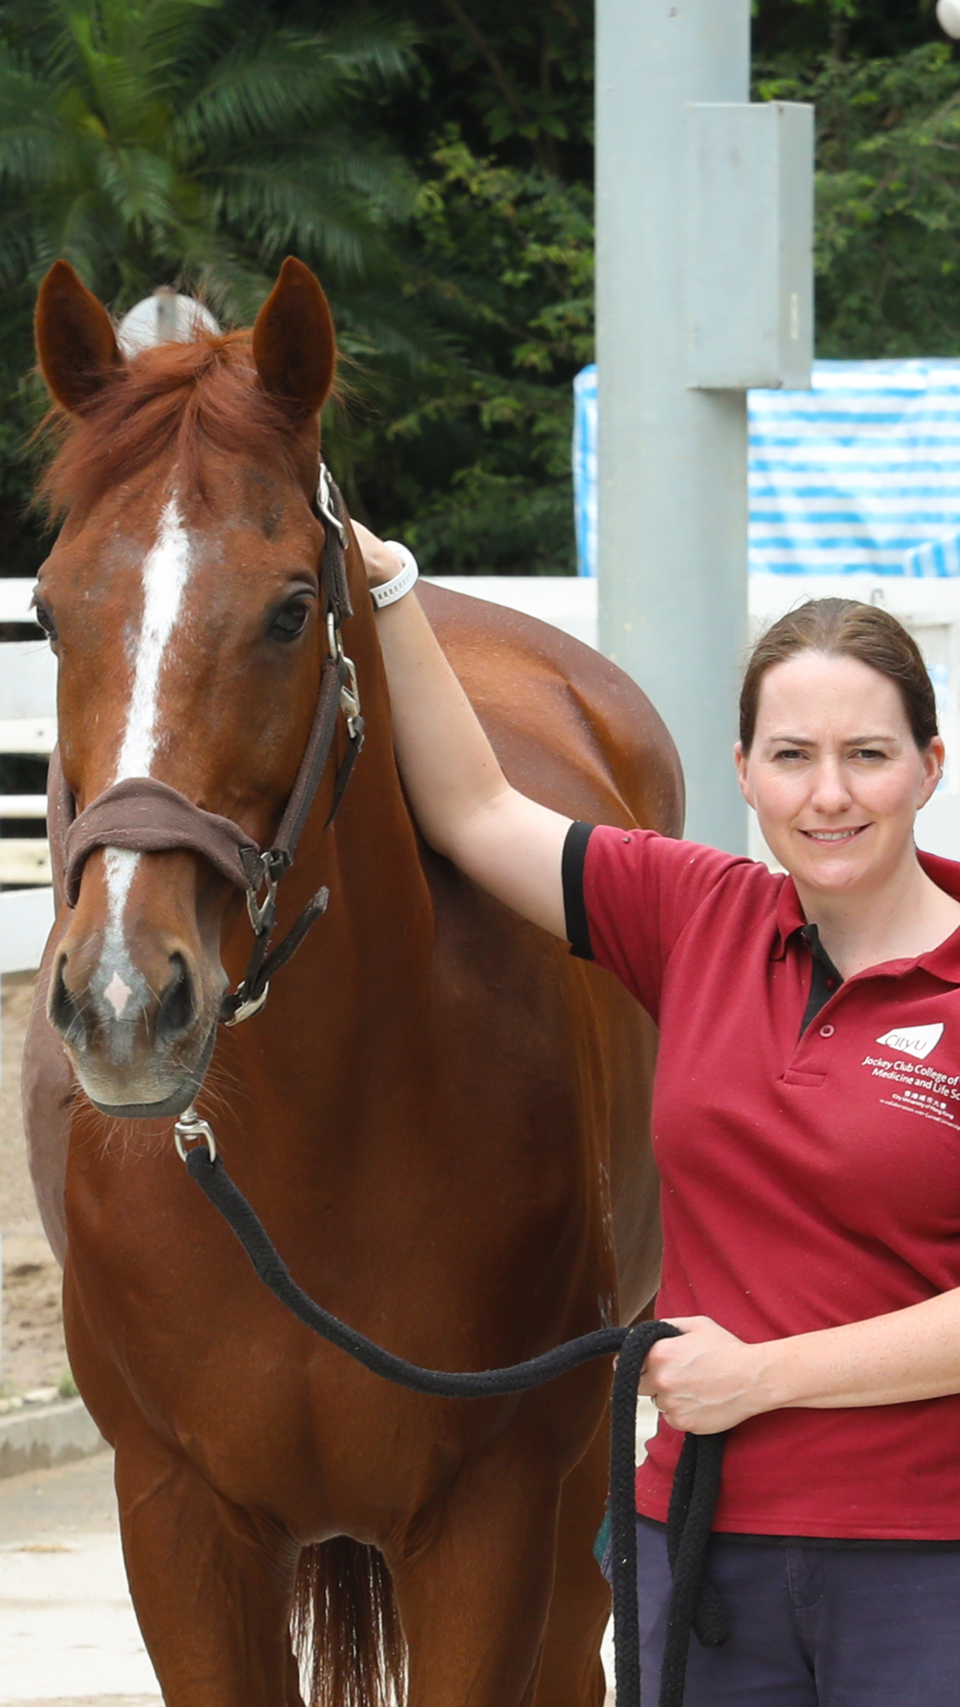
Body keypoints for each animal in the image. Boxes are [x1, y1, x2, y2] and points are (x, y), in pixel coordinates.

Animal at [22, 259, 679, 1707]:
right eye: (43, 608)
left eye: (287, 610)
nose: (124, 1003)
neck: (310, 1155)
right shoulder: (177, 1522)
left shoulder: (493, 1518)